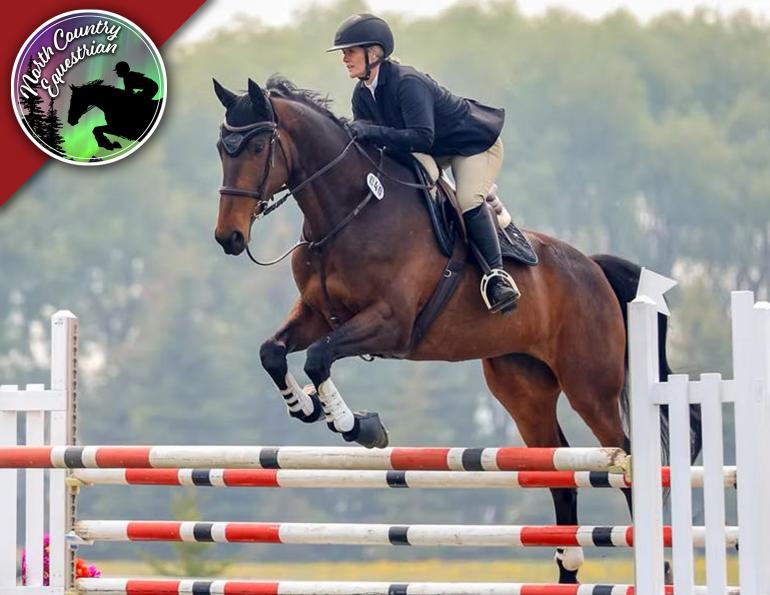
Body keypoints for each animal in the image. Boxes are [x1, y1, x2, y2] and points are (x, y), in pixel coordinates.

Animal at [212, 76, 702, 584]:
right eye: (222, 148)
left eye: (257, 146)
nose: (229, 238)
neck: (348, 212)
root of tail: (594, 266)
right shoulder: (315, 313)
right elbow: (273, 352)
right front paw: (305, 406)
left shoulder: (390, 322)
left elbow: (318, 357)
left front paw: (358, 426)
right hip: (521, 387)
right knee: (558, 471)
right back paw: (566, 574)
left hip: (590, 386)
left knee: (624, 459)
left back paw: (659, 569)